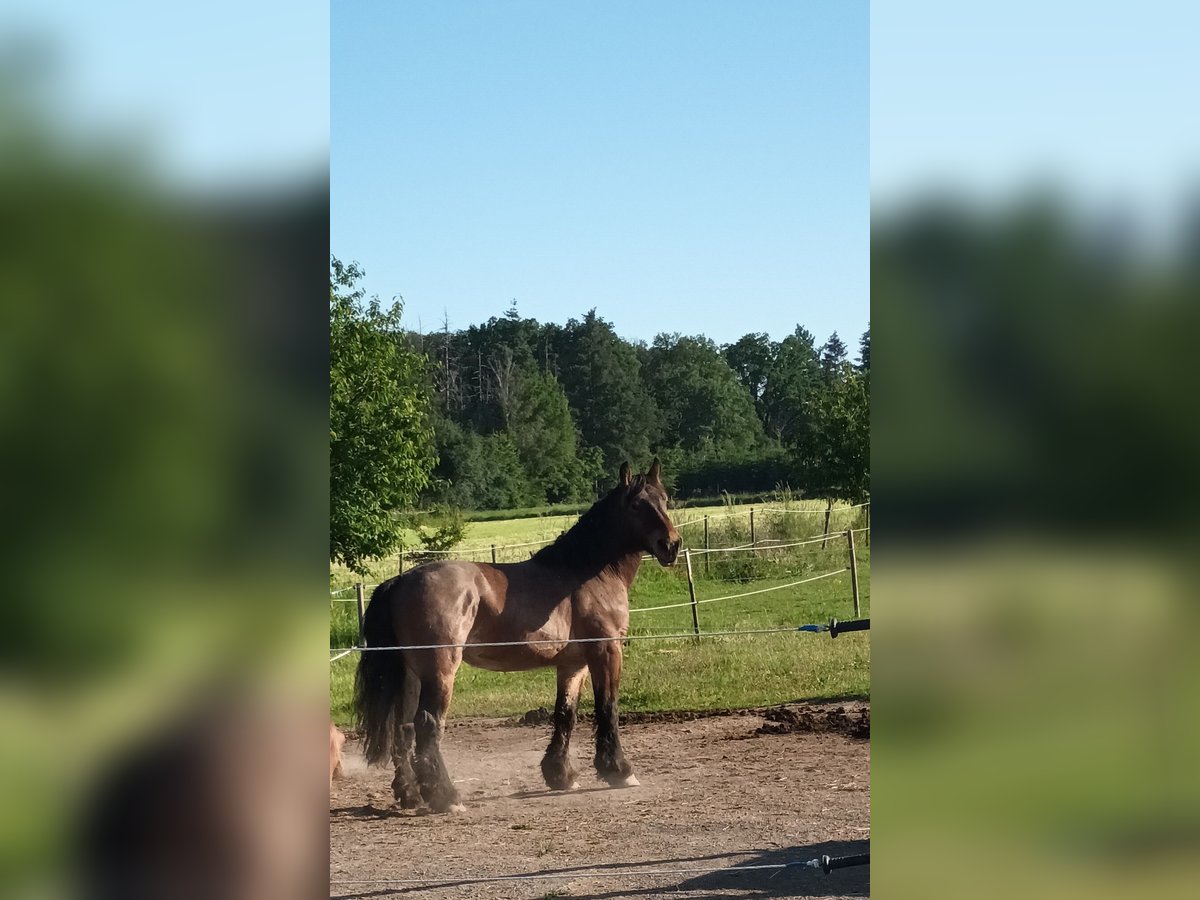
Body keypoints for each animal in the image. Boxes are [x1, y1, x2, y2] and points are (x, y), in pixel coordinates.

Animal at [350, 460, 681, 816]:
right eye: (636, 505)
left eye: (664, 499)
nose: (671, 545)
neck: (586, 574)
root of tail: (399, 581)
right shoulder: (606, 651)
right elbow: (608, 707)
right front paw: (619, 770)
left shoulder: (573, 664)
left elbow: (566, 714)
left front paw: (561, 775)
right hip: (439, 671)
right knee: (427, 724)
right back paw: (447, 796)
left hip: (410, 674)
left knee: (403, 728)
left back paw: (411, 794)